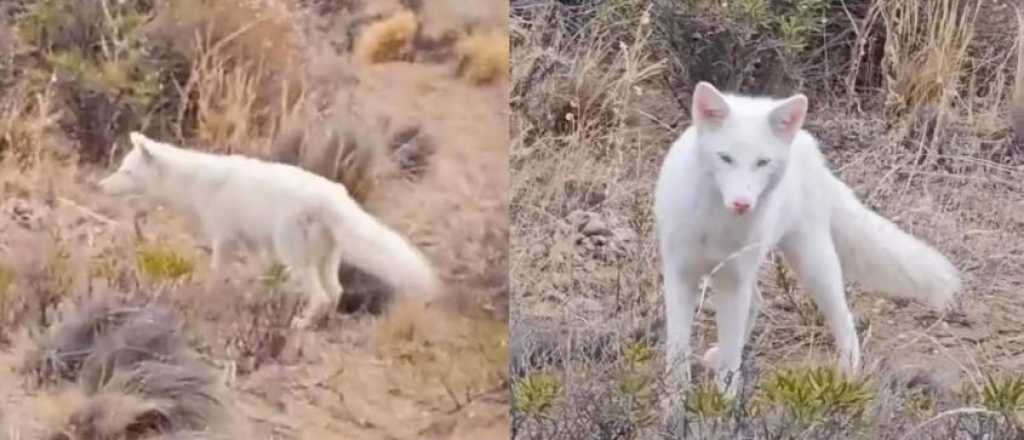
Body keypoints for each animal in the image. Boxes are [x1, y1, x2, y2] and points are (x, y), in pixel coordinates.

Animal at [98, 132, 441, 329]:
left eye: (126, 172)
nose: (100, 185)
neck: (193, 182)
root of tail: (335, 197)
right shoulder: (252, 245)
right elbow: (254, 275)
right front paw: (250, 298)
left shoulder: (224, 239)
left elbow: (217, 275)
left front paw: (209, 299)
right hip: (325, 260)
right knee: (336, 293)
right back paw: (321, 324)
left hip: (295, 257)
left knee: (321, 296)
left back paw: (301, 324)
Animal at [653, 82, 962, 396]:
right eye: (725, 157)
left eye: (762, 162)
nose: (741, 204)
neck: (716, 225)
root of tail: (808, 145)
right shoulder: (681, 274)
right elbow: (677, 355)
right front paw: (674, 404)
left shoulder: (733, 281)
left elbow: (730, 365)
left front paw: (720, 404)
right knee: (757, 303)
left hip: (813, 265)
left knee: (844, 321)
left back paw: (846, 379)